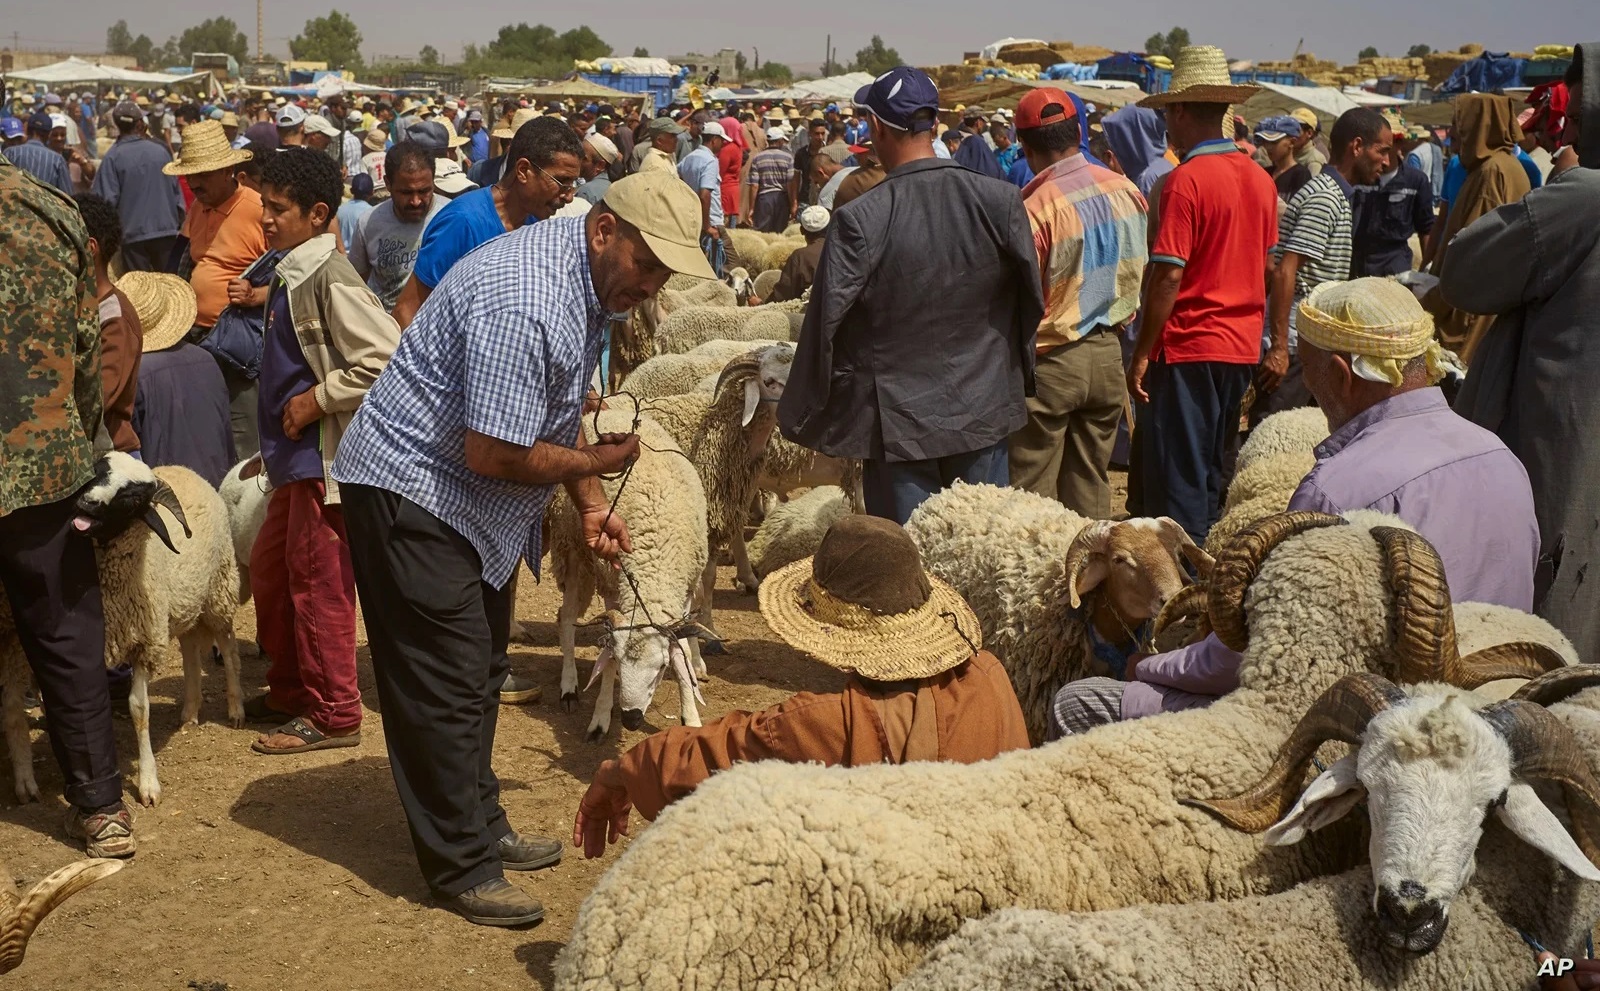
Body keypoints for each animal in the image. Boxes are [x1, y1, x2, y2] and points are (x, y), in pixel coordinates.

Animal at [1, 454, 244, 806]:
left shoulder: (144, 643)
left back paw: (236, 708)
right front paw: (27, 779)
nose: (87, 503)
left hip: (219, 587)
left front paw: (148, 784)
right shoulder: (18, 646)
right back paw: (190, 711)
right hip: (183, 601)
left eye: (133, 498)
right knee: (189, 648)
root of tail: (183, 467)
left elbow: (139, 710)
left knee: (227, 645)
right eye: (96, 472)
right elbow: (18, 710)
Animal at [547, 406, 710, 739]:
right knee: (566, 617)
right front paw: (601, 716)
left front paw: (691, 716)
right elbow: (607, 655)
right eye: (622, 665)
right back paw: (569, 686)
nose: (632, 719)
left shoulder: (684, 594)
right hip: (573, 551)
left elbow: (683, 652)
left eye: (661, 668)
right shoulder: (613, 586)